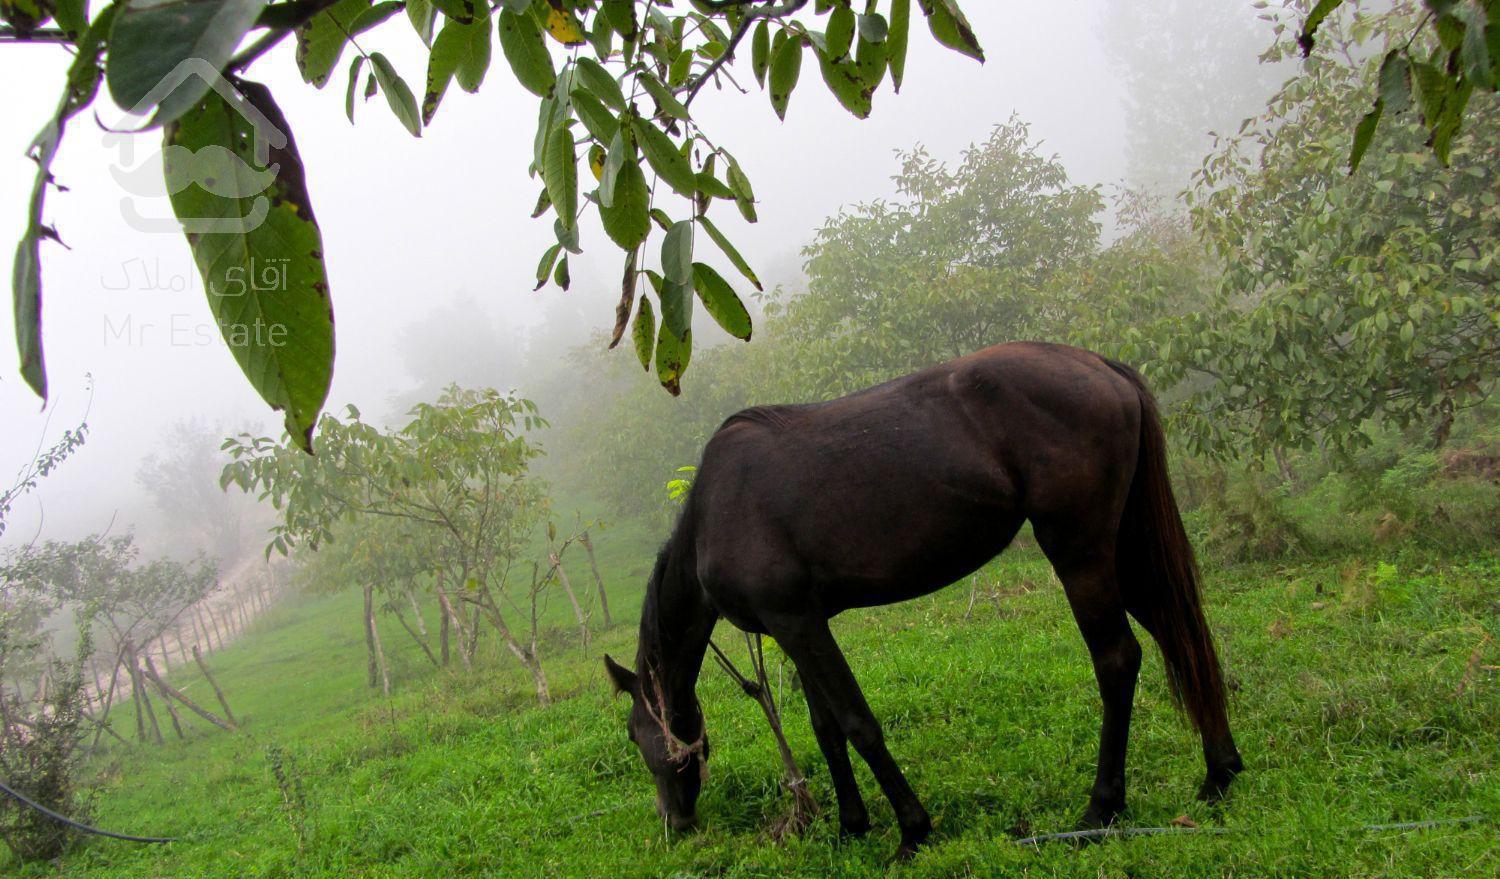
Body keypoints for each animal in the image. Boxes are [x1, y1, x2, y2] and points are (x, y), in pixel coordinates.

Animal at [600, 340, 1242, 858]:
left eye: (635, 735)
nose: (674, 820)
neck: (717, 511)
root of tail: (1098, 365)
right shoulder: (798, 624)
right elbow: (826, 729)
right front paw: (851, 827)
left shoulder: (798, 624)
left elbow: (858, 724)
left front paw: (912, 830)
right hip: (1122, 547)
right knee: (1178, 631)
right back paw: (1219, 774)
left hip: (1079, 549)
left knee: (1117, 660)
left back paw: (1101, 807)